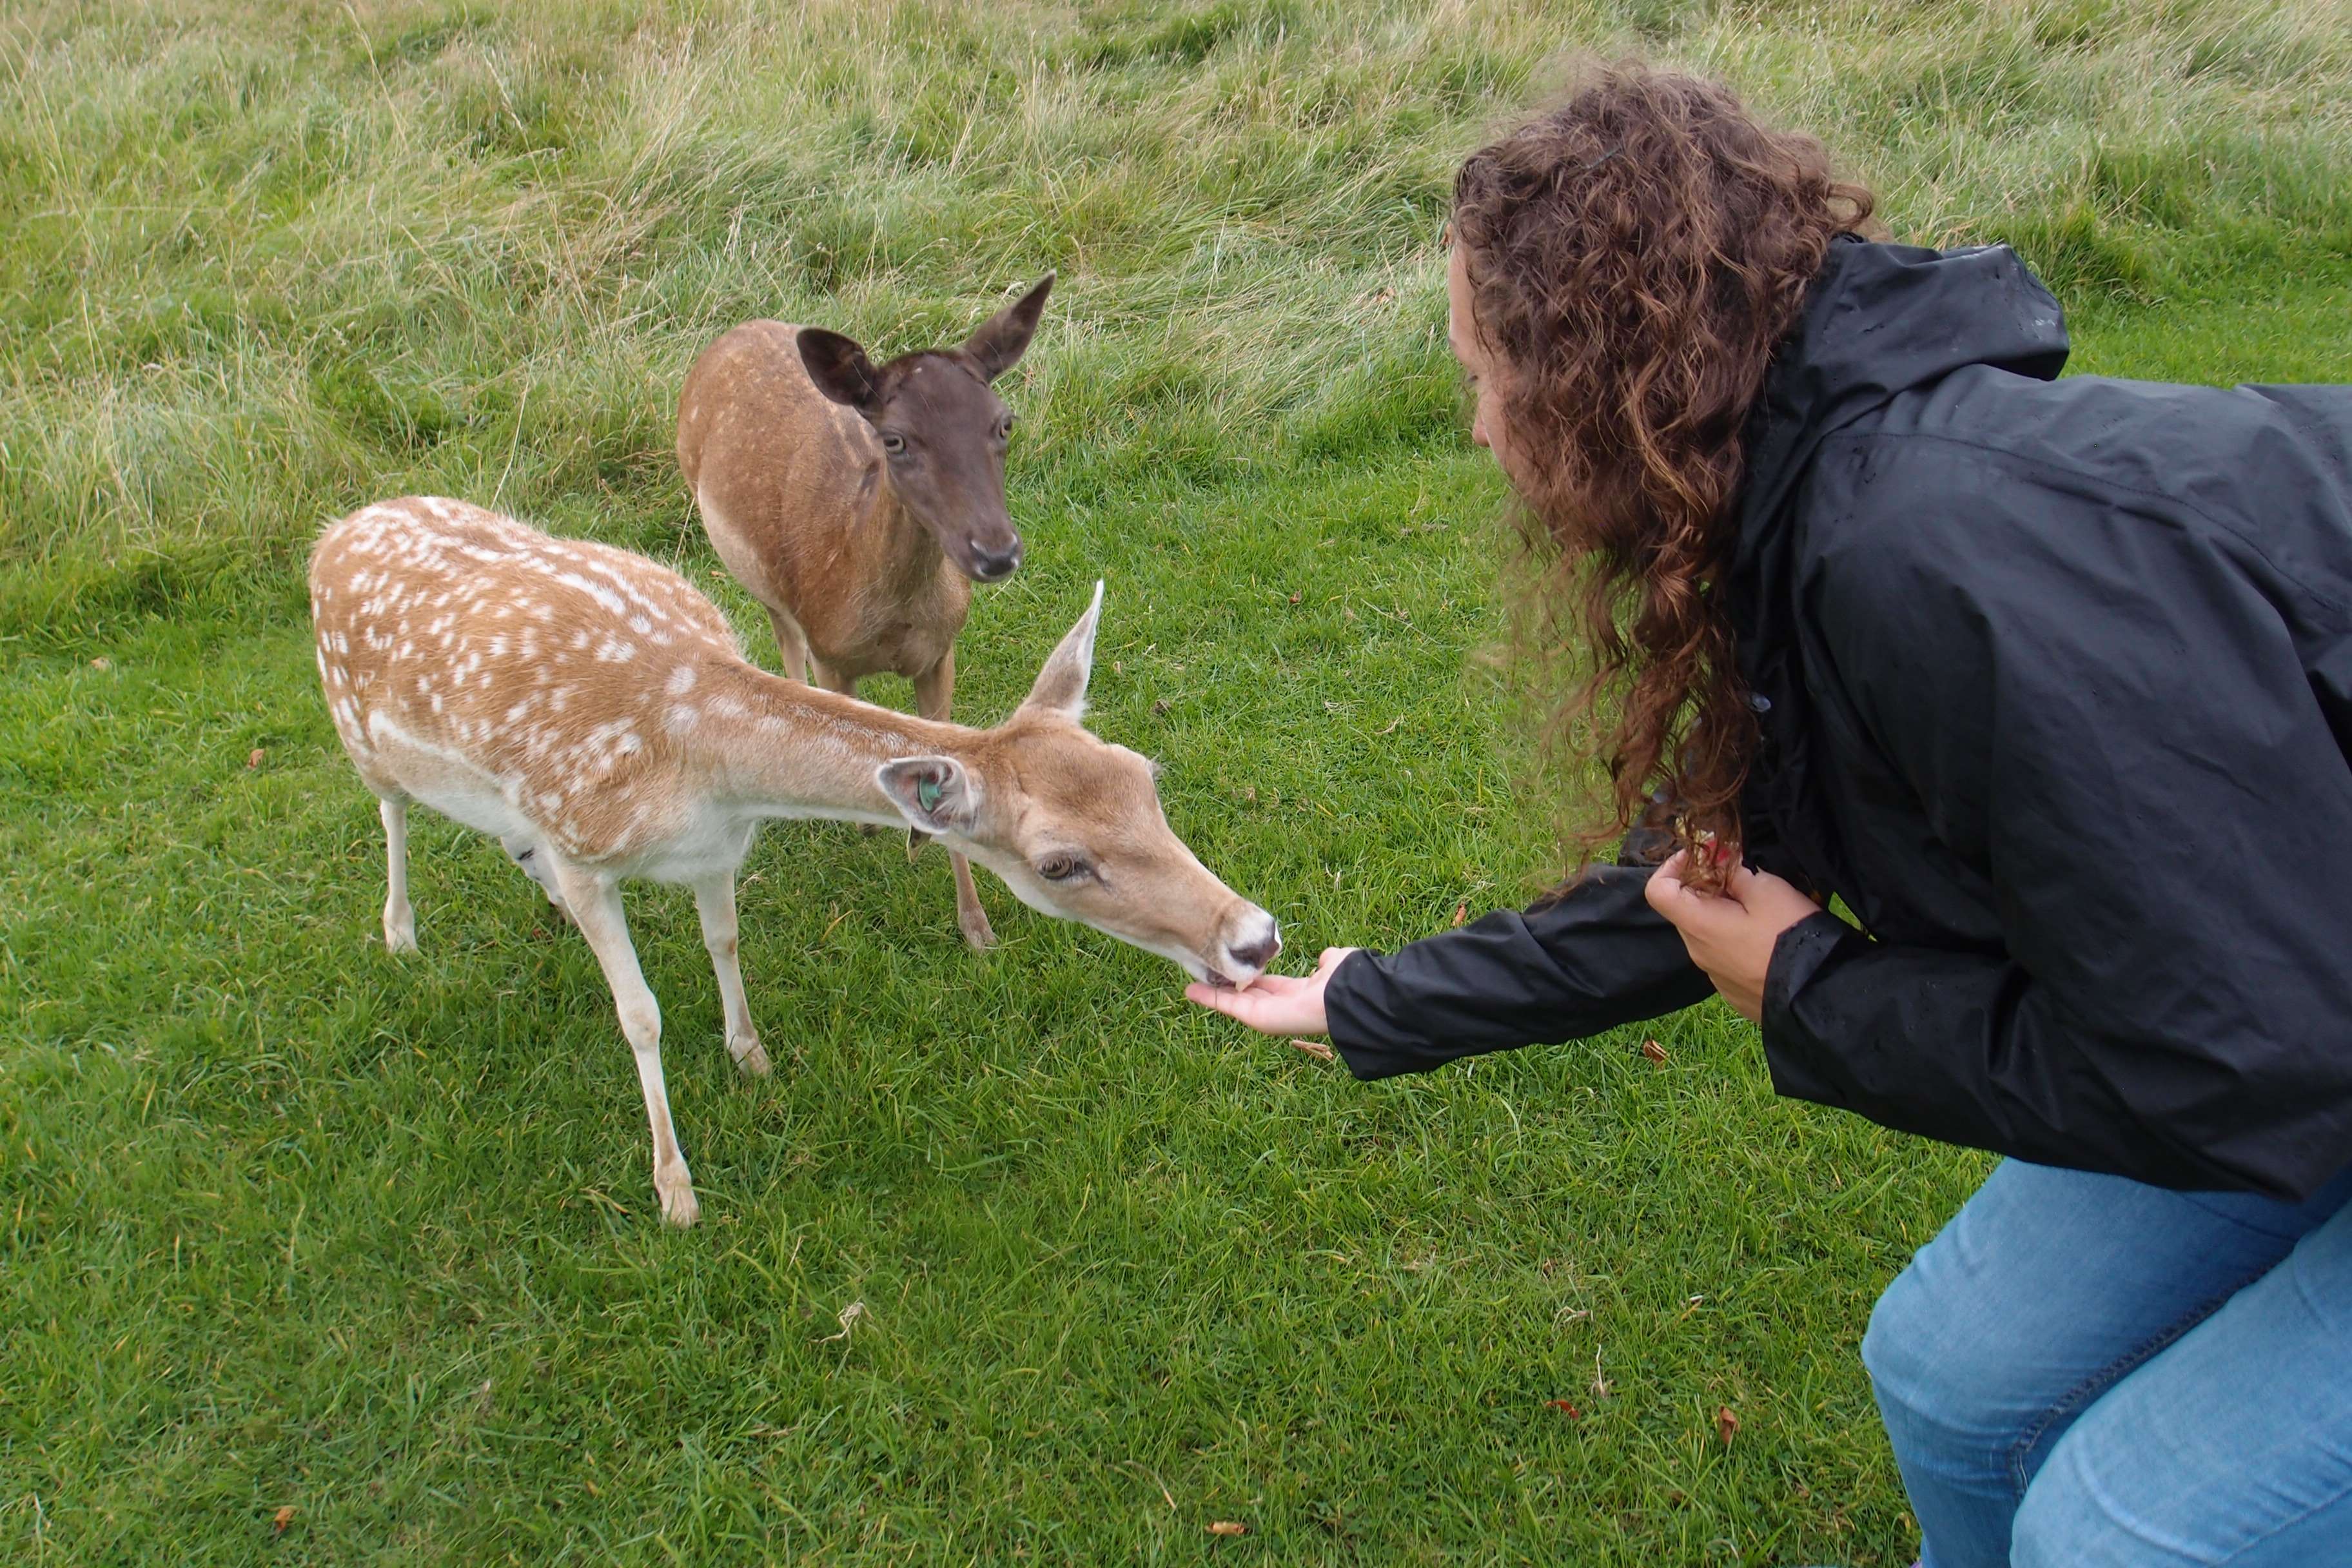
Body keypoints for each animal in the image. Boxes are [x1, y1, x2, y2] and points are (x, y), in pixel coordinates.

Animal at [310, 495, 1280, 1227]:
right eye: (1058, 864)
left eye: (1144, 774)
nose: (1255, 936)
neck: (703, 769)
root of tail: (334, 532)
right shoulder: (584, 844)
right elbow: (640, 1014)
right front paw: (675, 1189)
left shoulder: (714, 850)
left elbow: (726, 941)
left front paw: (752, 1057)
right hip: (358, 733)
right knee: (391, 811)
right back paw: (400, 933)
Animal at [675, 275, 1054, 955]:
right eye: (895, 438)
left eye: (1004, 423)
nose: (995, 552)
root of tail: (734, 333)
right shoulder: (831, 651)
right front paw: (867, 827)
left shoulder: (941, 652)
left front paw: (977, 927)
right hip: (748, 566)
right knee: (783, 636)